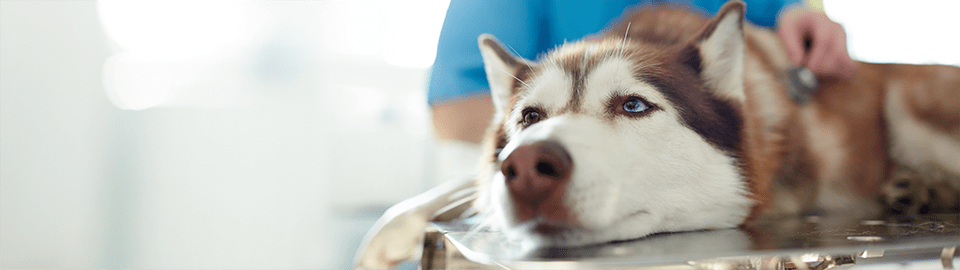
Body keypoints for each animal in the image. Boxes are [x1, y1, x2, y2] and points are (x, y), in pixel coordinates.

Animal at [354, 1, 960, 268]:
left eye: (633, 105)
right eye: (530, 118)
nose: (526, 168)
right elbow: (455, 187)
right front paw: (387, 235)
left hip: (910, 101)